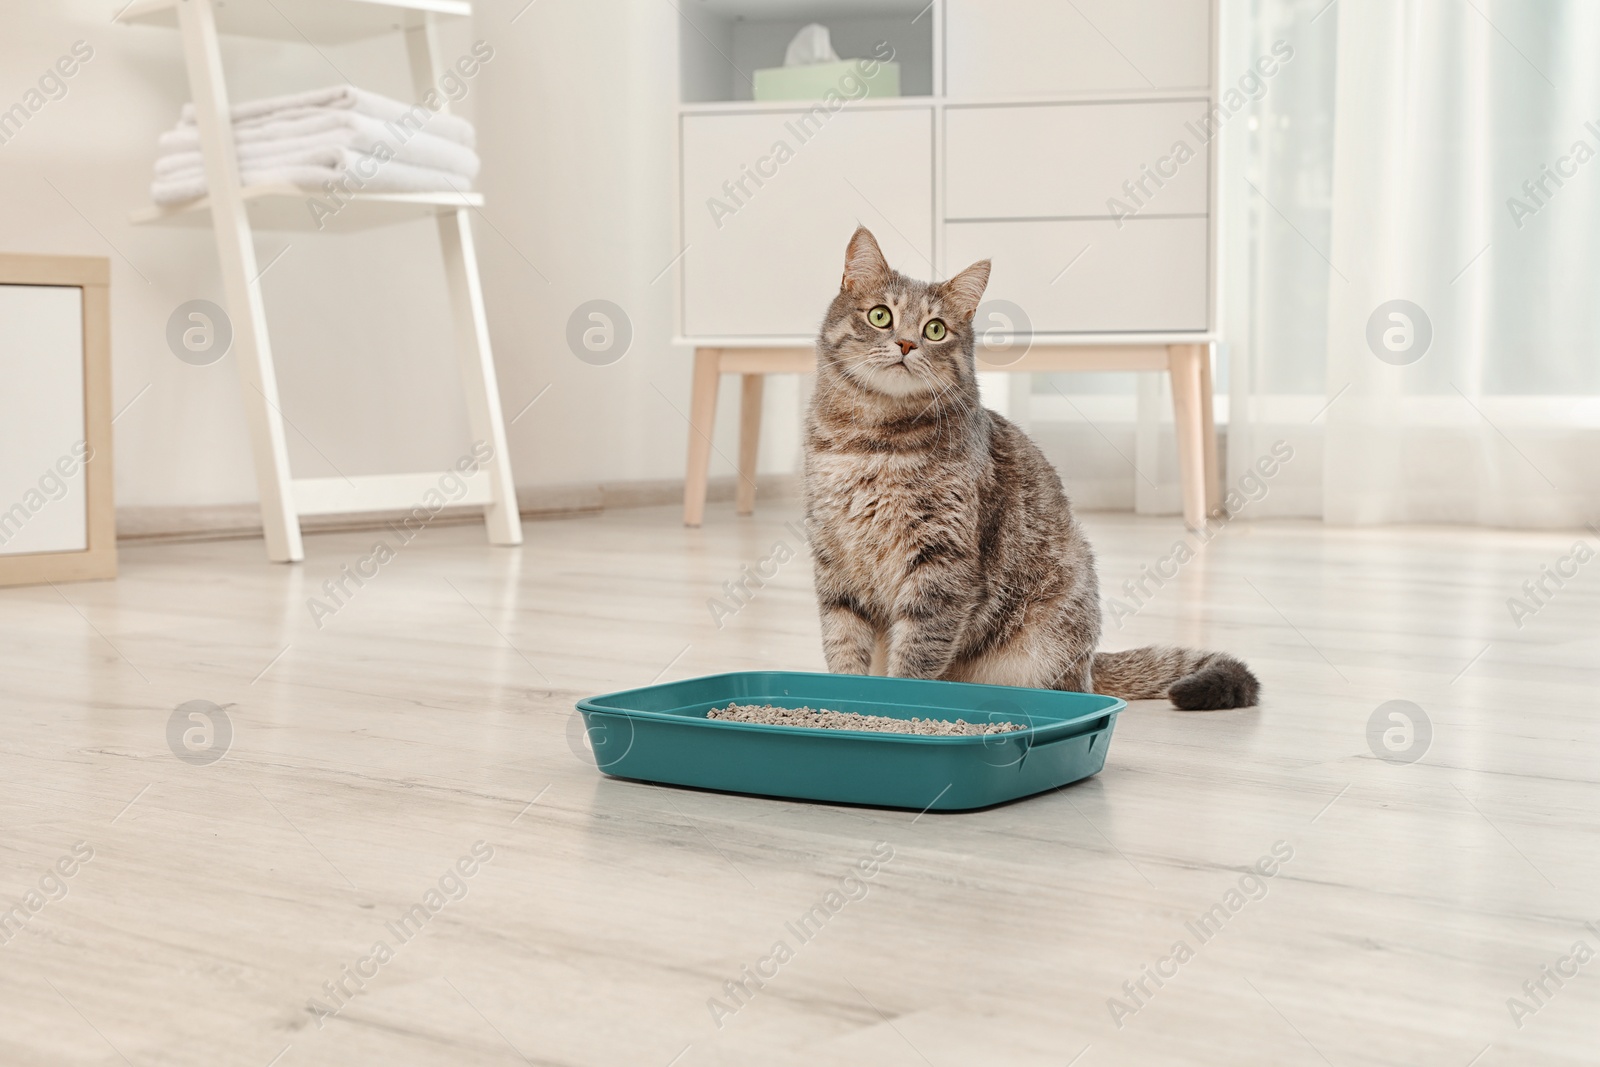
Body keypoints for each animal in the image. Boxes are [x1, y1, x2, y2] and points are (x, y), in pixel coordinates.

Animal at [800, 227, 1260, 710]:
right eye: (880, 316)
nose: (907, 344)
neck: (872, 442)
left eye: (935, 329)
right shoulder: (835, 563)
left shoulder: (942, 565)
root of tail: (1090, 664)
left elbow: (917, 656)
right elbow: (843, 646)